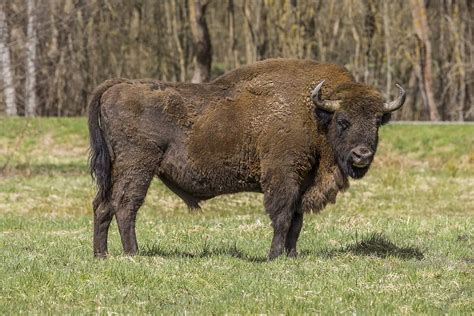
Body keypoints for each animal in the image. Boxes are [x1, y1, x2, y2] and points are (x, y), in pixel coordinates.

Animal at [88, 58, 404, 260]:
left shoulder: (303, 182)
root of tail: (118, 86)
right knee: (125, 206)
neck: (314, 113)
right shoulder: (283, 177)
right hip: (138, 166)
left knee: (103, 205)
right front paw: (274, 256)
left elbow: (297, 221)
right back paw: (133, 253)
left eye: (378, 120)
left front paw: (292, 256)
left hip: (115, 169)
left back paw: (101, 255)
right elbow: (282, 217)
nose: (362, 155)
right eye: (343, 121)